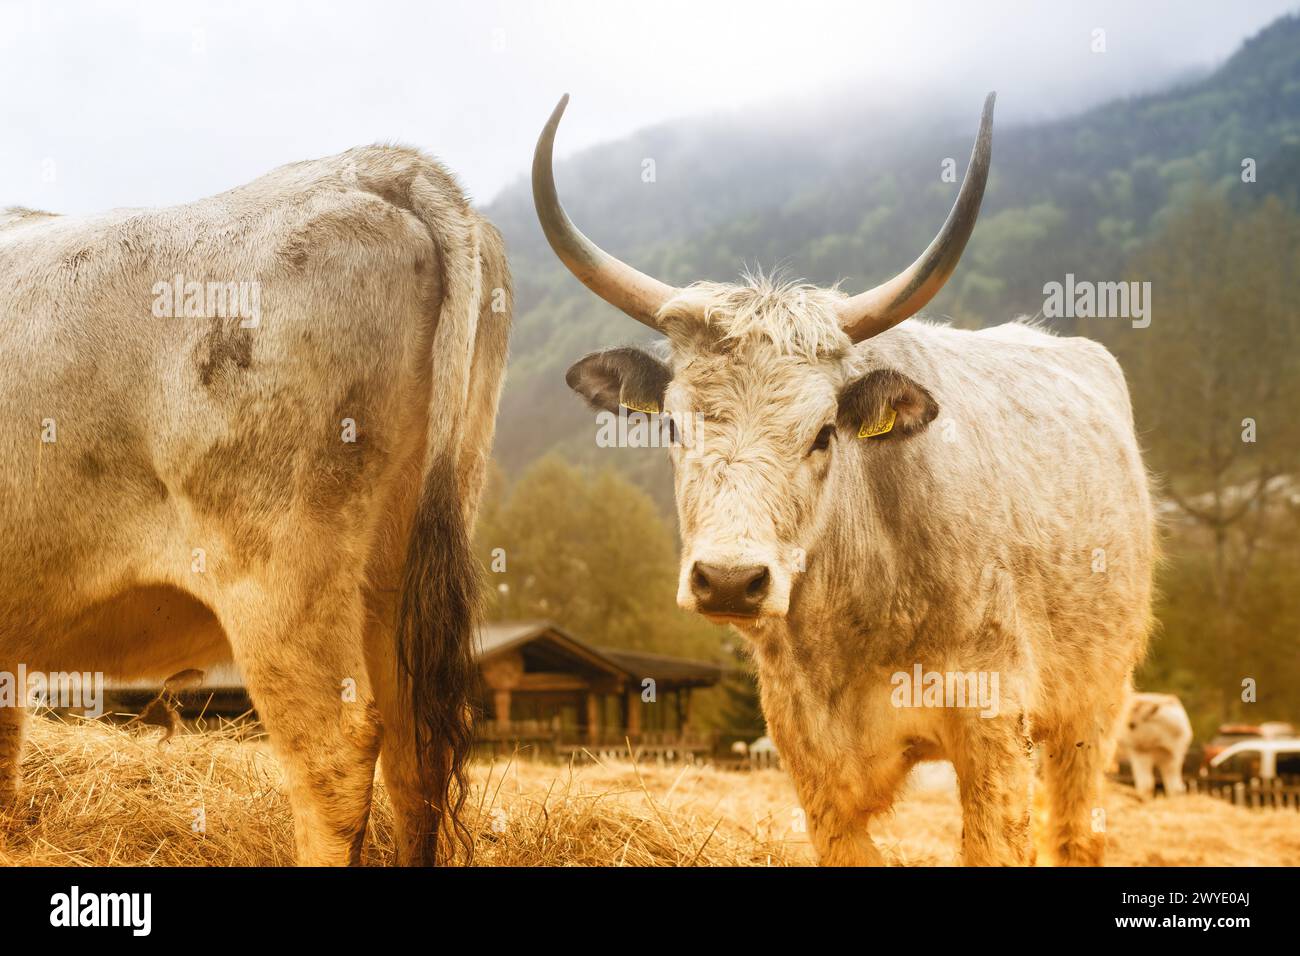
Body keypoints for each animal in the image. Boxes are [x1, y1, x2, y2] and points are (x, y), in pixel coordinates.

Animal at [534, 94, 1155, 866]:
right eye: (673, 427)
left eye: (825, 432)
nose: (730, 580)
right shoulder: (809, 755)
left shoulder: (994, 728)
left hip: (1091, 709)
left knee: (1075, 828)